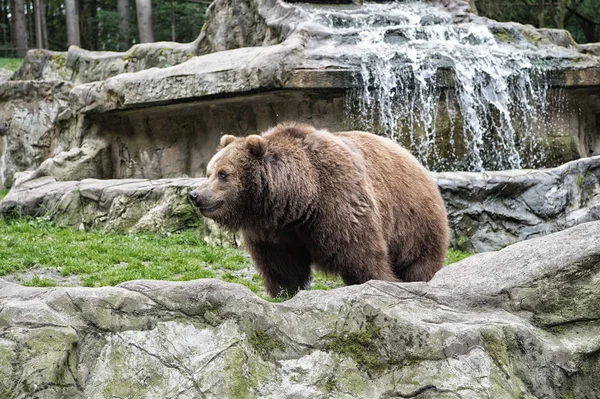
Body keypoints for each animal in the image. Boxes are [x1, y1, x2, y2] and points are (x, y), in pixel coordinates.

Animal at [190, 123, 448, 298]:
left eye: (223, 174)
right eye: (209, 172)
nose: (195, 194)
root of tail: (413, 158)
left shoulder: (338, 201)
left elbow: (362, 256)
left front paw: (378, 283)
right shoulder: (274, 232)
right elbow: (280, 265)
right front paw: (283, 292)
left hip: (412, 218)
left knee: (419, 261)